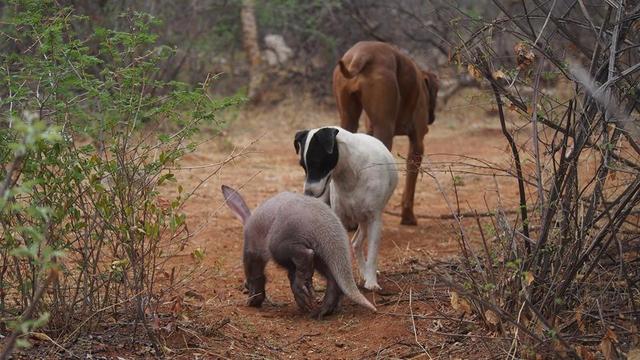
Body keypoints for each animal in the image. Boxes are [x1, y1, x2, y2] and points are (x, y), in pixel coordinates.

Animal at [294, 126, 396, 290]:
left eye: (318, 162)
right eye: (303, 166)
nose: (307, 193)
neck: (351, 173)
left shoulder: (374, 219)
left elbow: (373, 253)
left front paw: (371, 281)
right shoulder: (339, 217)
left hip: (365, 220)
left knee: (357, 243)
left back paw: (366, 273)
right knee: (355, 243)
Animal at [332, 41, 438, 225]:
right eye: (436, 92)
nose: (432, 118)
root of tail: (362, 53)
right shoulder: (418, 143)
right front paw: (408, 217)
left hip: (348, 117)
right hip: (384, 127)